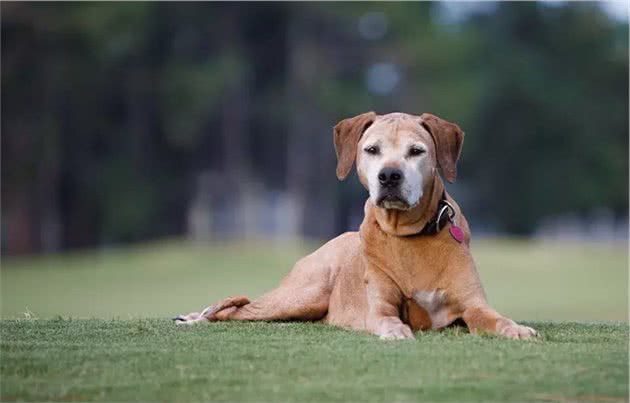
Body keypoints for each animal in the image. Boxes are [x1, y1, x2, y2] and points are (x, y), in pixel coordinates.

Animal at [175, 111, 540, 340]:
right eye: (372, 149)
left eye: (416, 151)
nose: (389, 176)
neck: (408, 235)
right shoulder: (379, 305)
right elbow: (385, 316)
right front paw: (395, 331)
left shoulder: (472, 305)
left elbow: (491, 317)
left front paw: (515, 328)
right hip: (302, 293)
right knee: (236, 310)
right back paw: (195, 318)